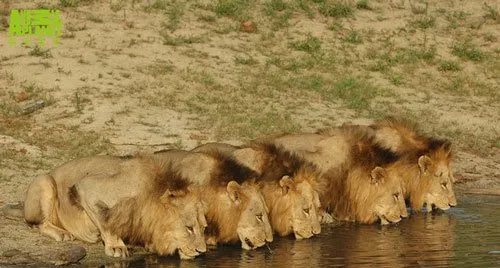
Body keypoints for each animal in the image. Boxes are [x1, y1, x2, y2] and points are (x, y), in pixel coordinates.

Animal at [23, 156, 207, 258]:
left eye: (204, 228)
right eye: (189, 228)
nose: (202, 251)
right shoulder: (87, 187)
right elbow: (107, 221)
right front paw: (116, 247)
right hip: (45, 181)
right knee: (40, 223)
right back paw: (63, 233)